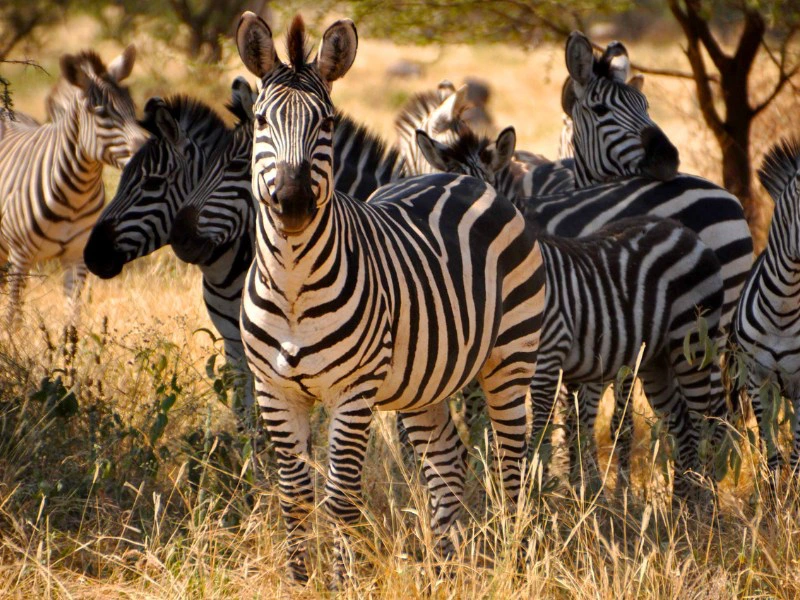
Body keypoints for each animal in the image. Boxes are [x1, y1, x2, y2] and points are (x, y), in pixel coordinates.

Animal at [0, 46, 148, 324]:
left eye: (133, 108)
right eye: (101, 113)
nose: (147, 154)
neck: (75, 196)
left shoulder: (76, 258)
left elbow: (73, 319)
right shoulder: (20, 256)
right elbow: (14, 315)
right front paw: (11, 336)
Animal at [235, 12, 546, 582]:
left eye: (327, 124)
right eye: (262, 122)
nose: (292, 202)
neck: (291, 284)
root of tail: (462, 178)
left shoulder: (352, 393)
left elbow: (340, 498)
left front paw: (340, 582)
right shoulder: (273, 390)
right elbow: (294, 497)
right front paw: (300, 580)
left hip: (510, 357)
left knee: (511, 463)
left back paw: (512, 563)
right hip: (425, 383)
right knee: (449, 460)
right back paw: (445, 565)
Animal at [416, 127, 727, 496]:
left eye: (486, 197)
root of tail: (686, 232)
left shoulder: (545, 360)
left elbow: (535, 434)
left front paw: (532, 495)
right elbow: (485, 428)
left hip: (691, 343)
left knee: (703, 423)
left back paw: (703, 502)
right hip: (657, 359)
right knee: (682, 426)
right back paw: (682, 503)